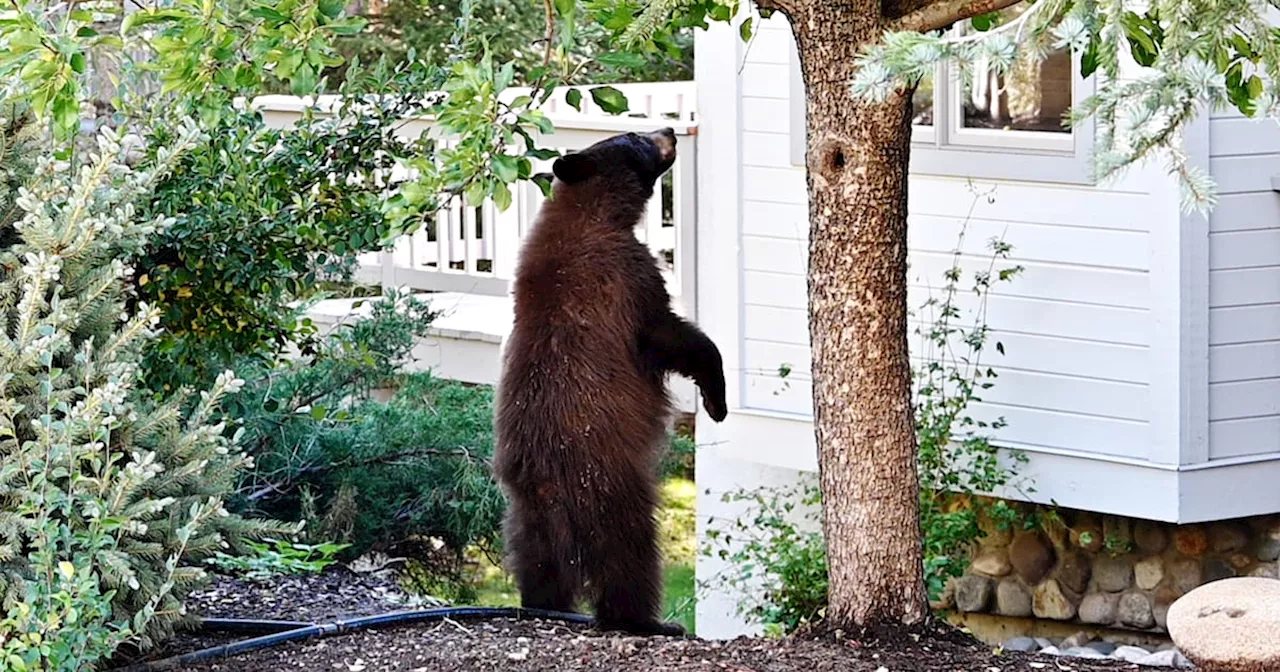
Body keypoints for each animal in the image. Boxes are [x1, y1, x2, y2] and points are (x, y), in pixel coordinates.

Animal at [494, 128, 727, 637]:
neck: (593, 212)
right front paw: (716, 400)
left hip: (523, 514)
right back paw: (648, 621)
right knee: (631, 558)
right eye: (634, 136)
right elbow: (669, 334)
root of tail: (547, 481)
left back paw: (543, 605)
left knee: (536, 563)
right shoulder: (626, 275)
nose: (669, 130)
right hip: (611, 490)